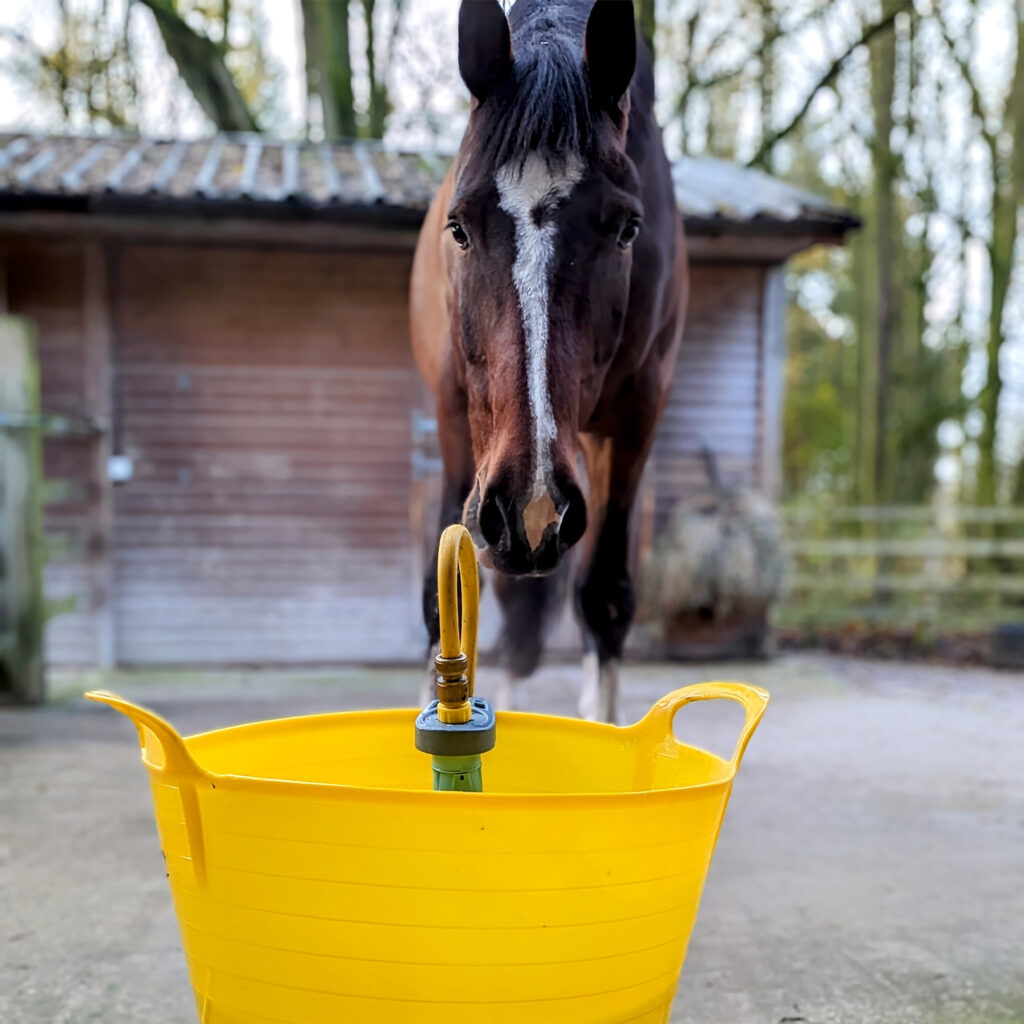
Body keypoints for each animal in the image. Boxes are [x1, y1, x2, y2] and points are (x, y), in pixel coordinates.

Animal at [410, 0, 688, 723]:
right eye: (459, 227)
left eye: (627, 228)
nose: (531, 511)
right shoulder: (456, 418)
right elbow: (445, 599)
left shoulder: (635, 418)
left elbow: (605, 598)